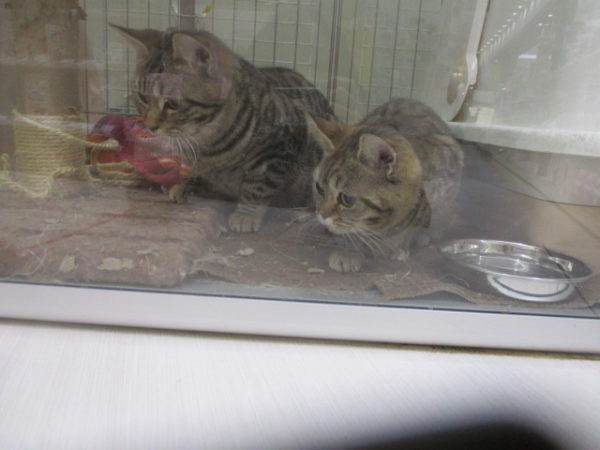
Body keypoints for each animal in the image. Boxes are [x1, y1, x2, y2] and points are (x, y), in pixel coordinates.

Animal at [114, 26, 336, 232]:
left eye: (172, 104)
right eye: (143, 98)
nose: (150, 126)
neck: (207, 140)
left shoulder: (278, 148)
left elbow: (258, 185)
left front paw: (246, 214)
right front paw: (190, 183)